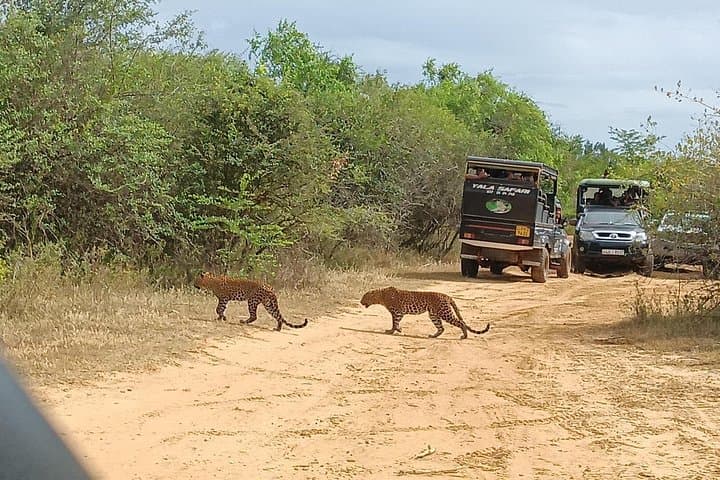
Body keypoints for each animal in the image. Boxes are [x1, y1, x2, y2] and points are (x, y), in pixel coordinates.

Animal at [360, 286, 490, 339]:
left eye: (364, 296)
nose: (360, 302)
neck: (380, 296)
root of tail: (446, 296)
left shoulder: (396, 312)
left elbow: (394, 322)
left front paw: (393, 331)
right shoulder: (400, 313)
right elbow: (396, 322)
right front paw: (398, 329)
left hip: (445, 313)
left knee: (461, 323)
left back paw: (464, 336)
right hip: (433, 314)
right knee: (441, 328)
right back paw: (433, 336)